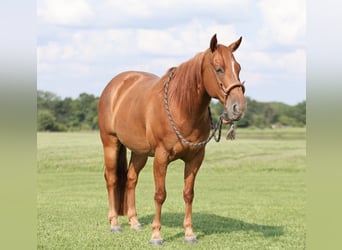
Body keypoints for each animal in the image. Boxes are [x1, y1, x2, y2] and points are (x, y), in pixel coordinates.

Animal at [97, 33, 247, 244]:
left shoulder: (195, 159)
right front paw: (156, 235)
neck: (181, 107)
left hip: (139, 152)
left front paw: (189, 234)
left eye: (238, 68)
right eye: (219, 69)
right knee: (111, 179)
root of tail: (115, 85)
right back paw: (115, 224)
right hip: (110, 143)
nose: (238, 107)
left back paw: (134, 222)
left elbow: (188, 194)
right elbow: (160, 195)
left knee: (131, 179)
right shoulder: (161, 157)